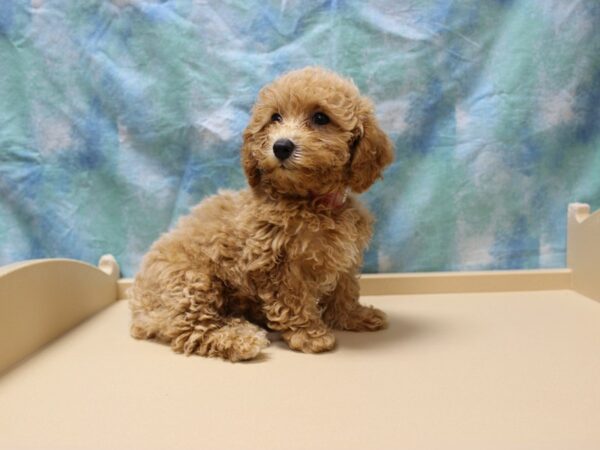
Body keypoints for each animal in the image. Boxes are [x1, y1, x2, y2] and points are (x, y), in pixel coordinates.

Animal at [129, 67, 394, 362]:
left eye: (320, 118)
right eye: (275, 117)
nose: (281, 146)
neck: (311, 202)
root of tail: (138, 305)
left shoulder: (344, 258)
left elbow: (345, 290)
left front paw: (354, 317)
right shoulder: (276, 263)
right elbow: (293, 301)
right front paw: (310, 336)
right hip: (191, 281)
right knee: (190, 328)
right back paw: (240, 338)